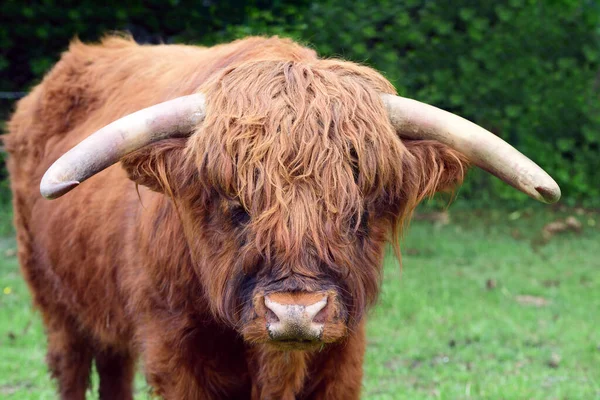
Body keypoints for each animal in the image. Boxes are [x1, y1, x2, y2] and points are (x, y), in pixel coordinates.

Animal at [4, 35, 560, 400]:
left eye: (358, 213)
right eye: (236, 206)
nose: (296, 312)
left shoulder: (343, 358)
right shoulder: (174, 353)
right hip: (54, 299)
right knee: (72, 365)